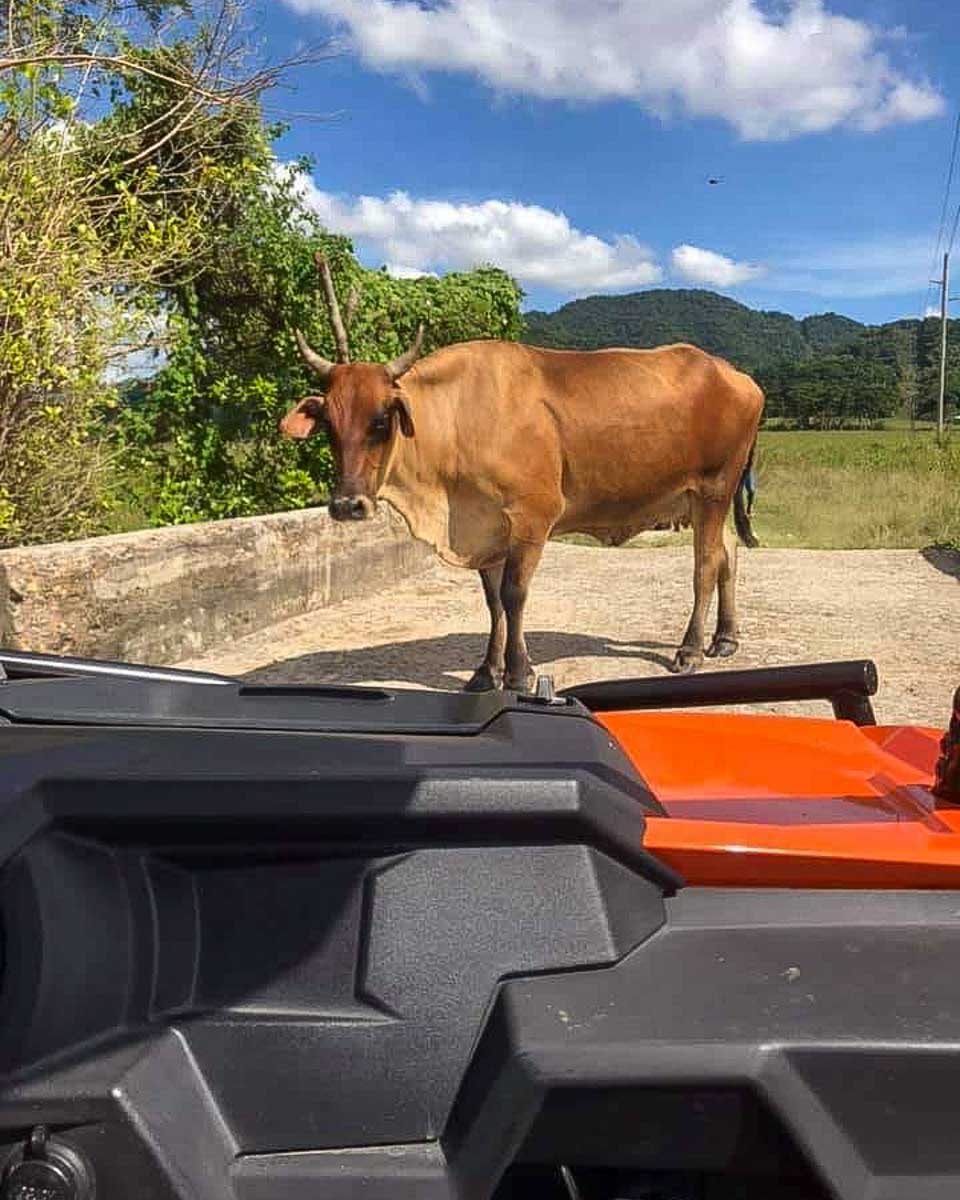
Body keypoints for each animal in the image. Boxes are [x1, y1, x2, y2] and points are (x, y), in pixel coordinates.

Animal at [280, 329, 763, 690]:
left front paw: (518, 672)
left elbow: (514, 595)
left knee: (705, 564)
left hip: (713, 489)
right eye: (329, 425)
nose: (348, 504)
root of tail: (731, 372)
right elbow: (493, 602)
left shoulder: (533, 516)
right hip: (703, 500)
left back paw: (691, 649)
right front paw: (486, 671)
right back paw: (725, 638)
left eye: (381, 421)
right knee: (728, 555)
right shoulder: (485, 529)